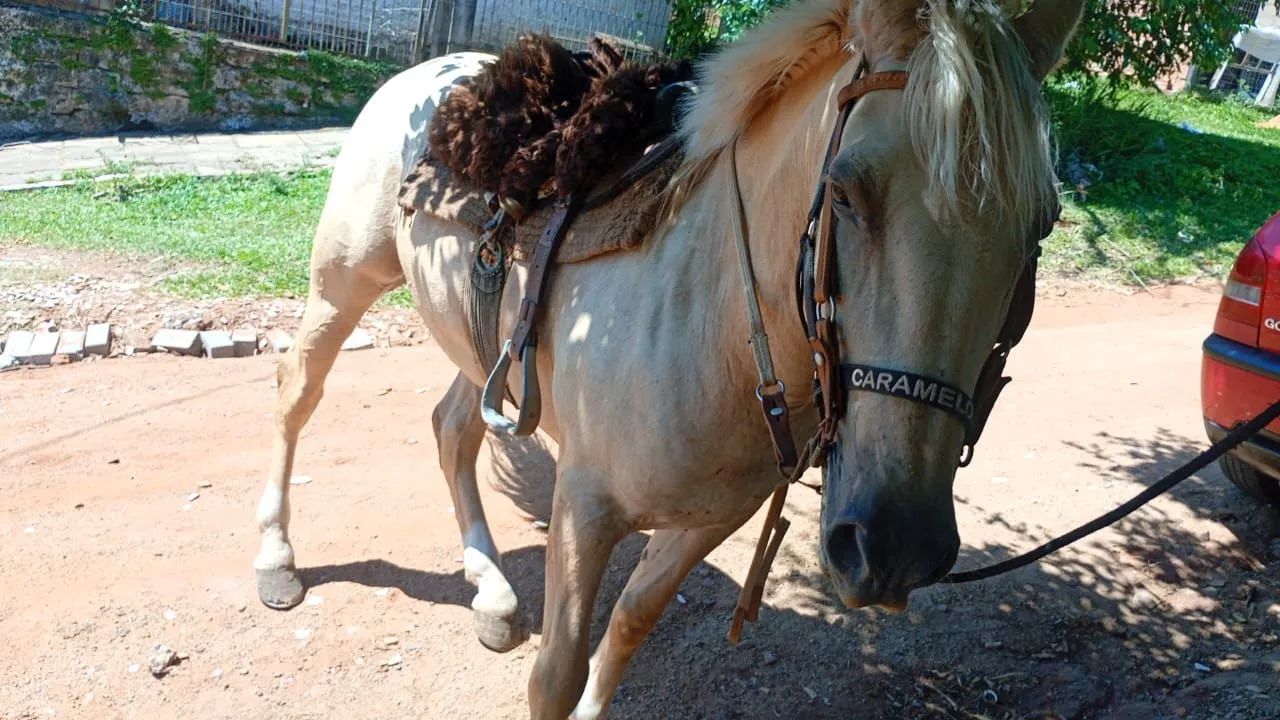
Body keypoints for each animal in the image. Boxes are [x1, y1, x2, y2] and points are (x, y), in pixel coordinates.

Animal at [251, 1, 1084, 716]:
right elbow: (556, 676)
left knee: (452, 428)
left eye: (1041, 222)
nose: (894, 546)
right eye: (845, 191)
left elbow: (628, 627)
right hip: (342, 285)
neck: (714, 322)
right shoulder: (584, 507)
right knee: (295, 394)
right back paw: (277, 561)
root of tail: (440, 71)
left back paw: (490, 591)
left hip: (479, 344)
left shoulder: (712, 518)